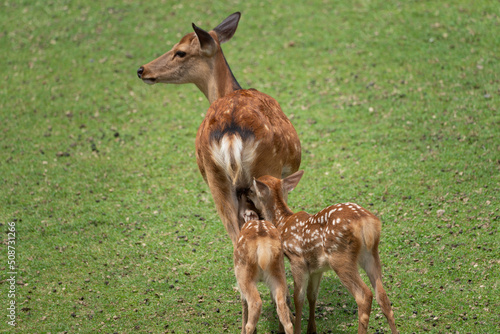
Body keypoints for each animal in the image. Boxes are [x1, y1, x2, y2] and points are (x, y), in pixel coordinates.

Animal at [137, 11, 300, 247]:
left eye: (180, 51)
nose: (142, 69)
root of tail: (231, 134)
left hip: (216, 179)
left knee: (236, 236)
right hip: (266, 170)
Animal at [233, 197, 292, 332]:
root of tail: (263, 244)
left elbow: (243, 303)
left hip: (242, 273)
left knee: (255, 303)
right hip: (278, 271)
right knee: (283, 307)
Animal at [247, 172, 398, 334]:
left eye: (251, 190)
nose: (245, 193)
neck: (282, 222)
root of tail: (365, 222)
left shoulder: (297, 259)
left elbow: (298, 297)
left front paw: (299, 329)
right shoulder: (317, 268)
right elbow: (312, 295)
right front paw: (311, 329)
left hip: (340, 257)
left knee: (364, 296)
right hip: (371, 254)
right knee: (383, 297)